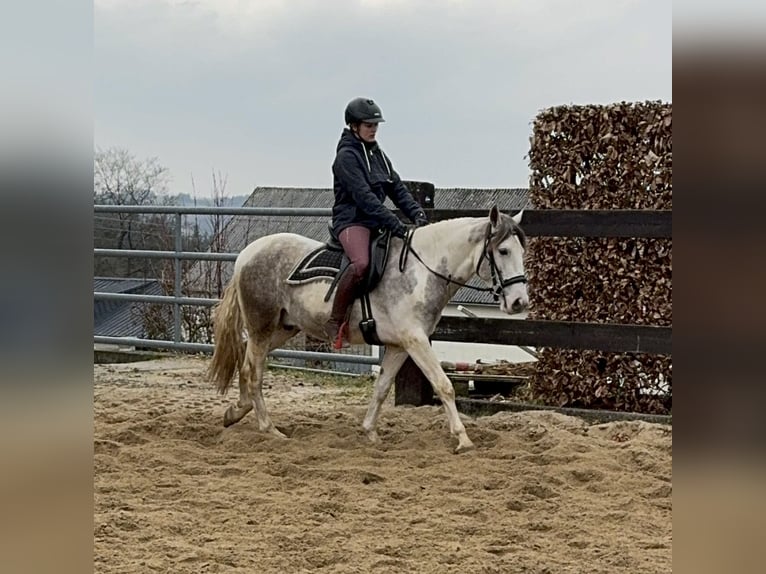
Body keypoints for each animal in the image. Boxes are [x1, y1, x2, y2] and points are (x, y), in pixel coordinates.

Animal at [207, 207, 532, 454]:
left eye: (521, 251)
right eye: (503, 250)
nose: (519, 302)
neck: (421, 271)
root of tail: (247, 254)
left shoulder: (400, 345)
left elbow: (382, 388)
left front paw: (370, 433)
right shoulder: (416, 341)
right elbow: (444, 386)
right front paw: (463, 439)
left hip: (282, 329)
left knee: (247, 362)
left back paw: (235, 412)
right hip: (262, 327)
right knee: (253, 371)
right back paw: (269, 429)